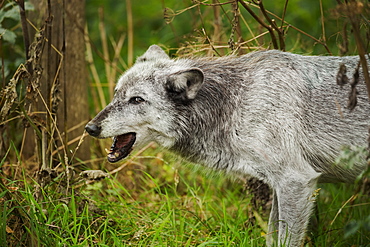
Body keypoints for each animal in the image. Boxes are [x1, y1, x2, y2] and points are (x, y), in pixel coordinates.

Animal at [85, 45, 368, 246]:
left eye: (136, 100)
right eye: (116, 94)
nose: (90, 128)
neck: (237, 103)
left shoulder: (296, 181)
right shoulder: (281, 185)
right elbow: (271, 238)